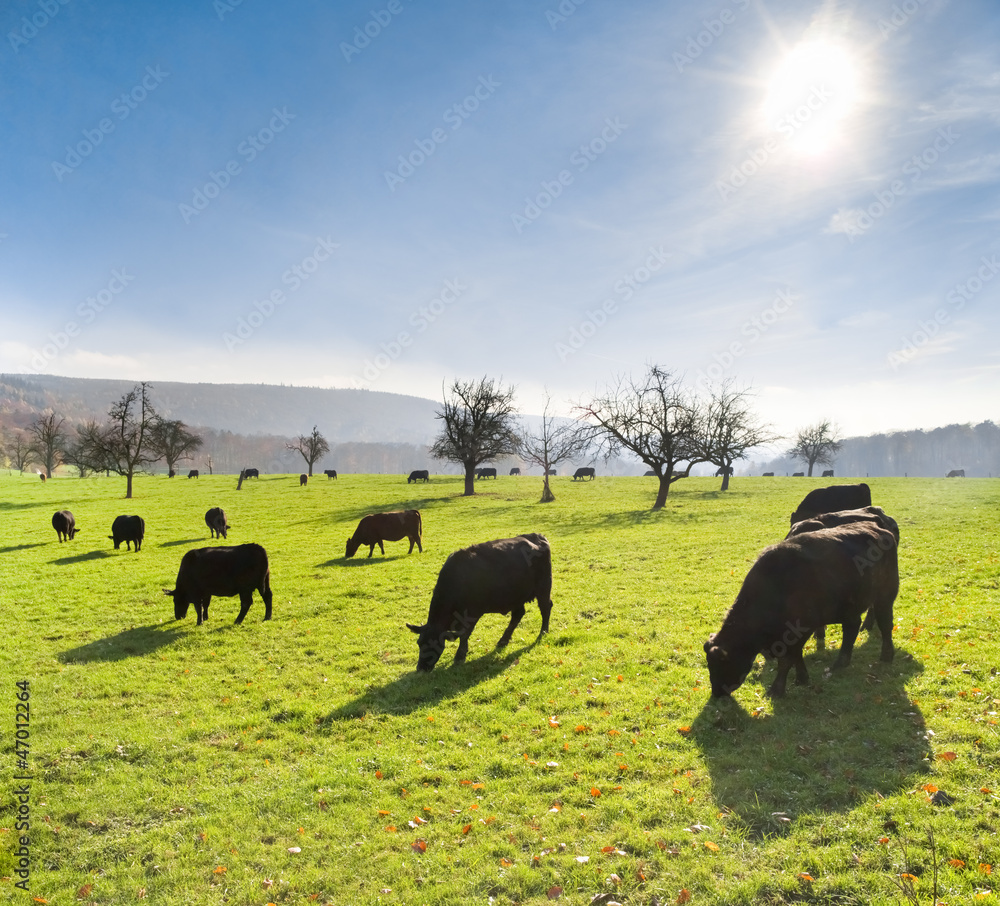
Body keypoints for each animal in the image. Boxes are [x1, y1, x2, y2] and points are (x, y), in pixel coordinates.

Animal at [406, 528, 556, 672]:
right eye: (419, 643)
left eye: (435, 644)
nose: (421, 668)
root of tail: (537, 536)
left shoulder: (472, 613)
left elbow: (464, 635)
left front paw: (460, 656)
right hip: (516, 596)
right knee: (518, 615)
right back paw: (503, 640)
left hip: (544, 587)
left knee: (545, 608)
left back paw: (543, 632)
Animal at [704, 520, 900, 696]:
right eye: (709, 665)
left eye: (722, 664)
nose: (716, 693)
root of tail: (881, 529)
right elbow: (796, 656)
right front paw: (802, 678)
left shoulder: (802, 629)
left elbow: (787, 660)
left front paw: (777, 690)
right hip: (849, 608)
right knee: (852, 629)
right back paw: (840, 663)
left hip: (885, 597)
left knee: (885, 625)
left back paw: (887, 656)